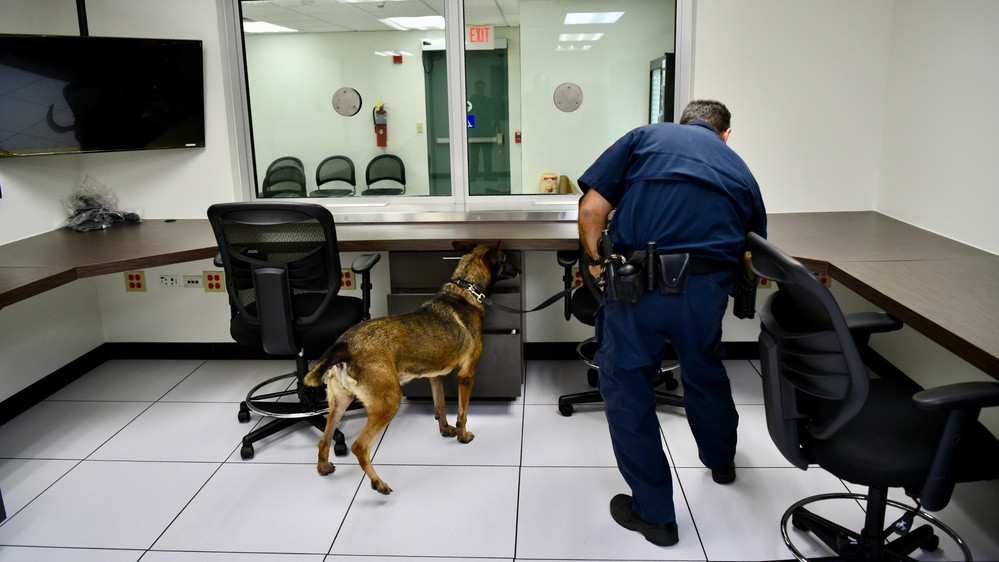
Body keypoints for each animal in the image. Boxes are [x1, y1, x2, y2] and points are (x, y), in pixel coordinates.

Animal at [302, 238, 524, 492]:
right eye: (506, 258)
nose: (519, 270)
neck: (464, 288)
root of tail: (343, 346)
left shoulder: (435, 376)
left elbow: (440, 406)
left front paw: (445, 430)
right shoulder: (467, 375)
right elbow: (462, 413)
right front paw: (462, 435)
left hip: (340, 401)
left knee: (324, 439)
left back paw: (323, 467)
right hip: (388, 401)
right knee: (360, 447)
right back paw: (378, 483)